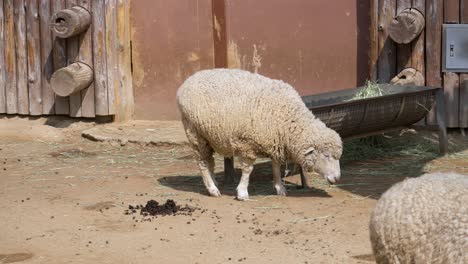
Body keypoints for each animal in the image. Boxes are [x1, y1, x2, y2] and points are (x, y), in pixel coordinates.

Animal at [177, 68, 342, 200]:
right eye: (326, 155)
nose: (338, 178)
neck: (287, 119)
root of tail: (186, 83)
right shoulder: (246, 143)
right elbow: (248, 170)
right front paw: (242, 192)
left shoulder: (276, 141)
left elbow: (276, 167)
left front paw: (280, 188)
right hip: (195, 133)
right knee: (202, 162)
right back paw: (212, 189)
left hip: (207, 137)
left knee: (209, 161)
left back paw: (214, 183)